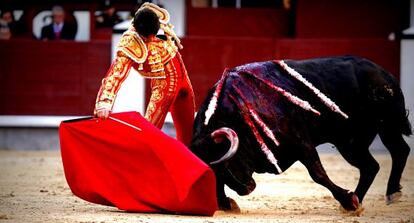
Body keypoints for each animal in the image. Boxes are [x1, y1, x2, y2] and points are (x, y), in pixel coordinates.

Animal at [190, 55, 410, 213]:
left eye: (227, 162)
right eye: (215, 168)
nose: (246, 189)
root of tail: (383, 72)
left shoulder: (300, 142)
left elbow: (318, 174)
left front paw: (346, 200)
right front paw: (225, 204)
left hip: (387, 124)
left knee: (398, 151)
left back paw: (383, 195)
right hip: (350, 142)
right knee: (372, 165)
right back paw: (360, 201)